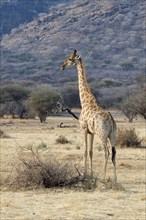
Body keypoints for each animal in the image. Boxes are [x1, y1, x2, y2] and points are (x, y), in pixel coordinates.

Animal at [61, 50, 117, 181]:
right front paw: (90, 175)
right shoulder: (91, 132)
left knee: (106, 152)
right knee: (114, 153)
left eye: (70, 59)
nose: (62, 67)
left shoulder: (83, 129)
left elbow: (85, 151)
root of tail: (111, 121)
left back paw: (104, 177)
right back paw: (115, 179)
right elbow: (91, 152)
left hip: (102, 135)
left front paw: (84, 175)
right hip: (112, 135)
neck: (85, 102)